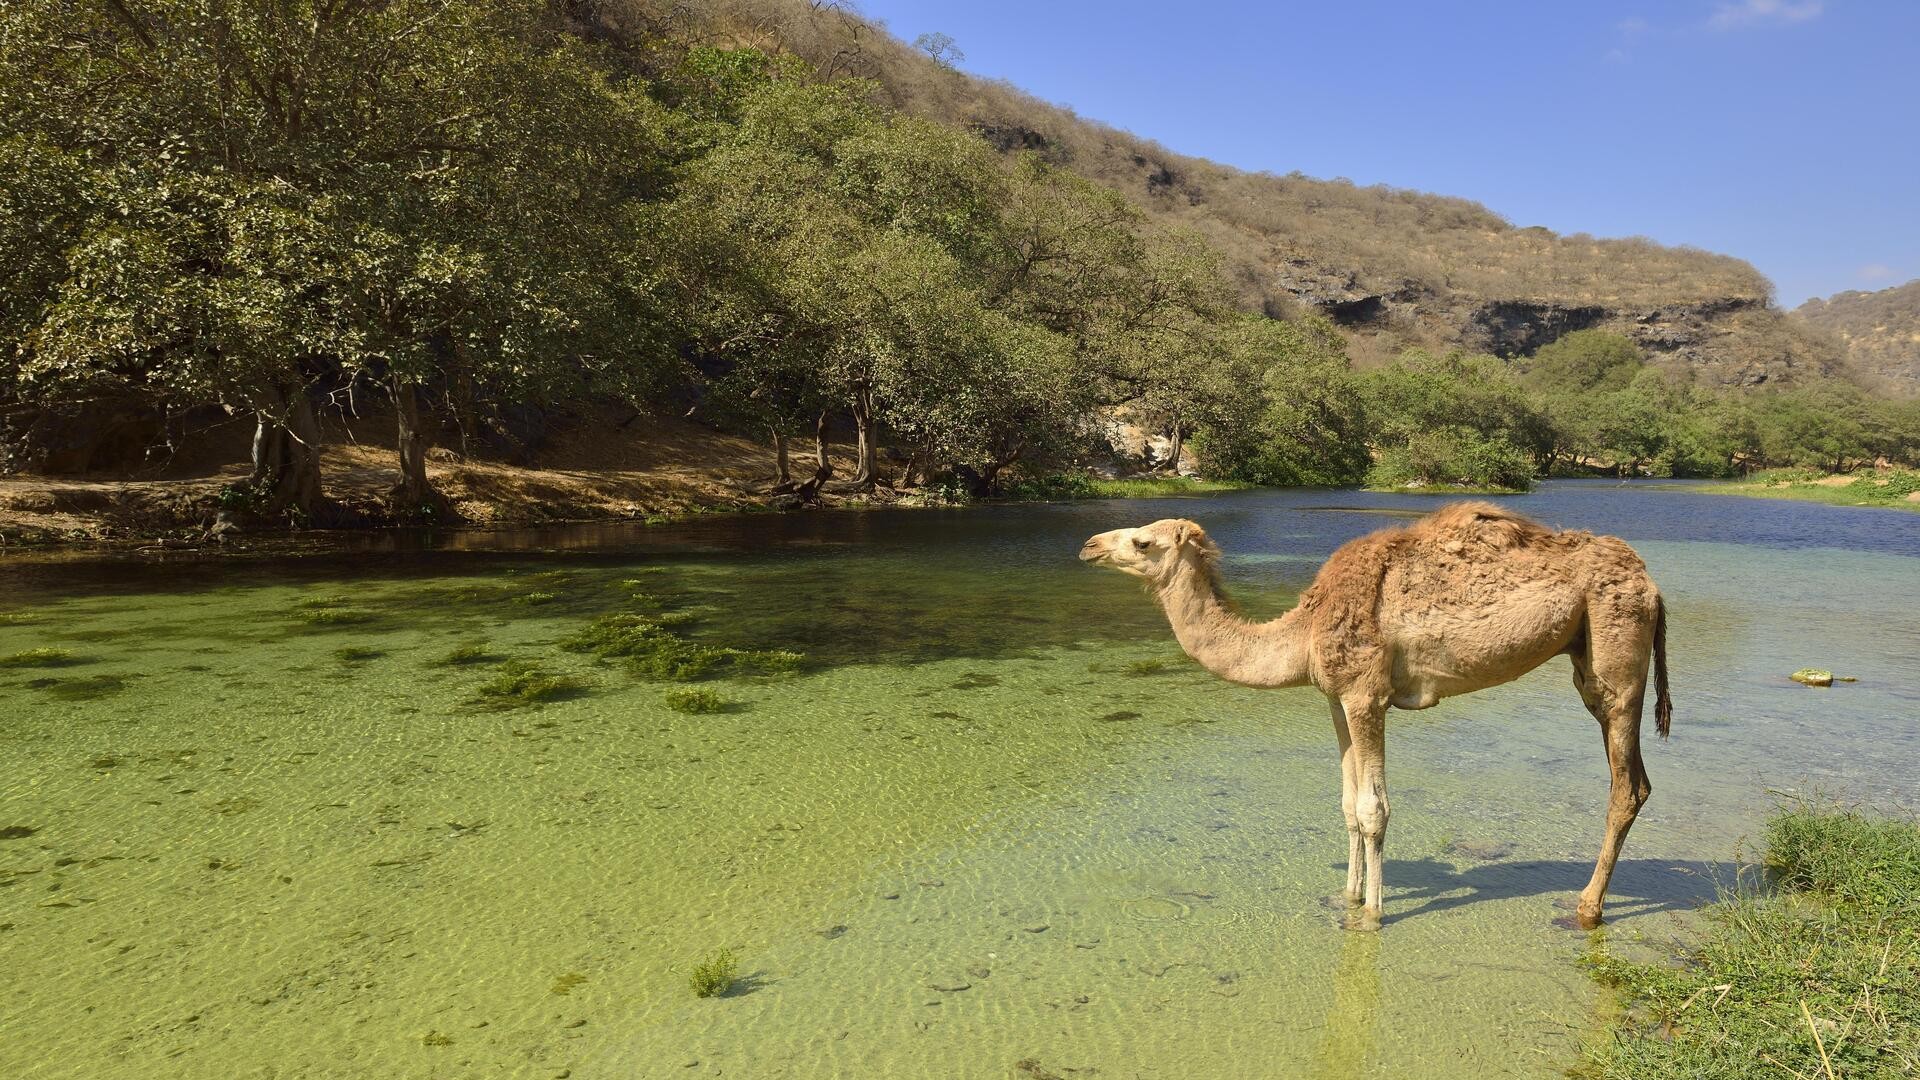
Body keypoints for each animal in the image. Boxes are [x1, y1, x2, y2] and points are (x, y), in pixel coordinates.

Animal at [1079, 502, 1671, 930]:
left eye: (1143, 541)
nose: (1088, 545)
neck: (1304, 630)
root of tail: (1652, 584)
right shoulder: (1335, 698)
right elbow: (1346, 804)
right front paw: (1348, 893)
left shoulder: (1367, 694)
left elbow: (1373, 809)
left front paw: (1371, 914)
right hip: (1589, 653)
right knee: (1635, 780)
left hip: (1615, 655)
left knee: (1626, 784)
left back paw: (1587, 908)